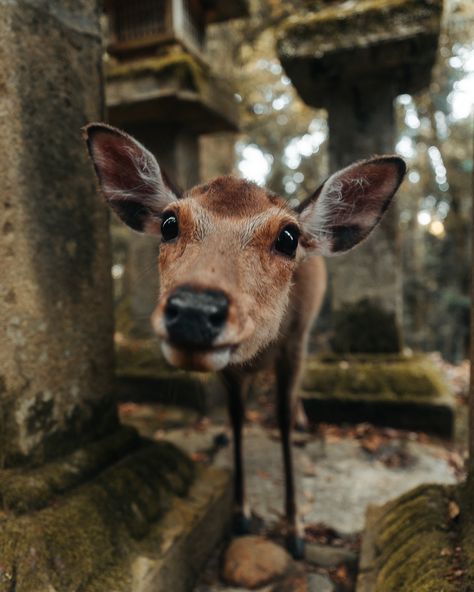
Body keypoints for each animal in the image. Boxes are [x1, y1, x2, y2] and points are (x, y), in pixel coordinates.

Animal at [83, 122, 406, 556]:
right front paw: (240, 512)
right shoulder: (233, 369)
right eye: (169, 223)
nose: (195, 311)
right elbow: (237, 416)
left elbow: (281, 418)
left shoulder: (294, 344)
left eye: (288, 237)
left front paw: (295, 530)